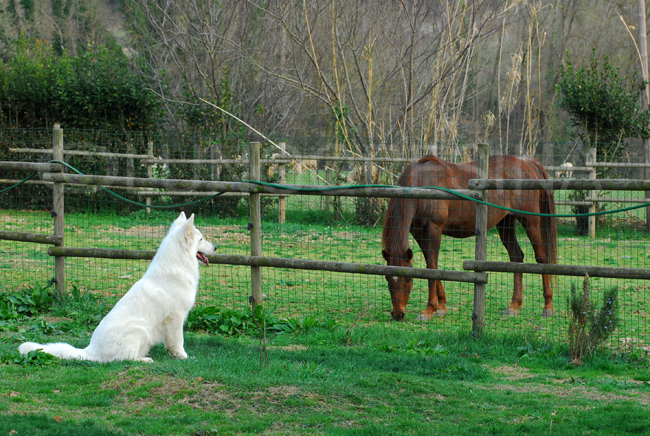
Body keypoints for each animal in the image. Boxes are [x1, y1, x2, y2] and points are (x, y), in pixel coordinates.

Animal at [17, 213, 215, 362]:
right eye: (201, 239)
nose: (216, 247)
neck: (177, 264)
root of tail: (90, 351)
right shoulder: (175, 317)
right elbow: (178, 342)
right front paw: (184, 357)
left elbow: (172, 344)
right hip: (140, 330)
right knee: (122, 359)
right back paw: (144, 360)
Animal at [380, 155, 556, 322]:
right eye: (387, 277)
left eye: (409, 278)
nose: (398, 314)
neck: (421, 185)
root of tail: (527, 162)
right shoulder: (418, 233)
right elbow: (432, 265)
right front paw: (441, 306)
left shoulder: (434, 229)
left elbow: (432, 268)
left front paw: (429, 310)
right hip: (505, 223)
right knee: (516, 257)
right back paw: (513, 306)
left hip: (530, 221)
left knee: (541, 258)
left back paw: (548, 307)